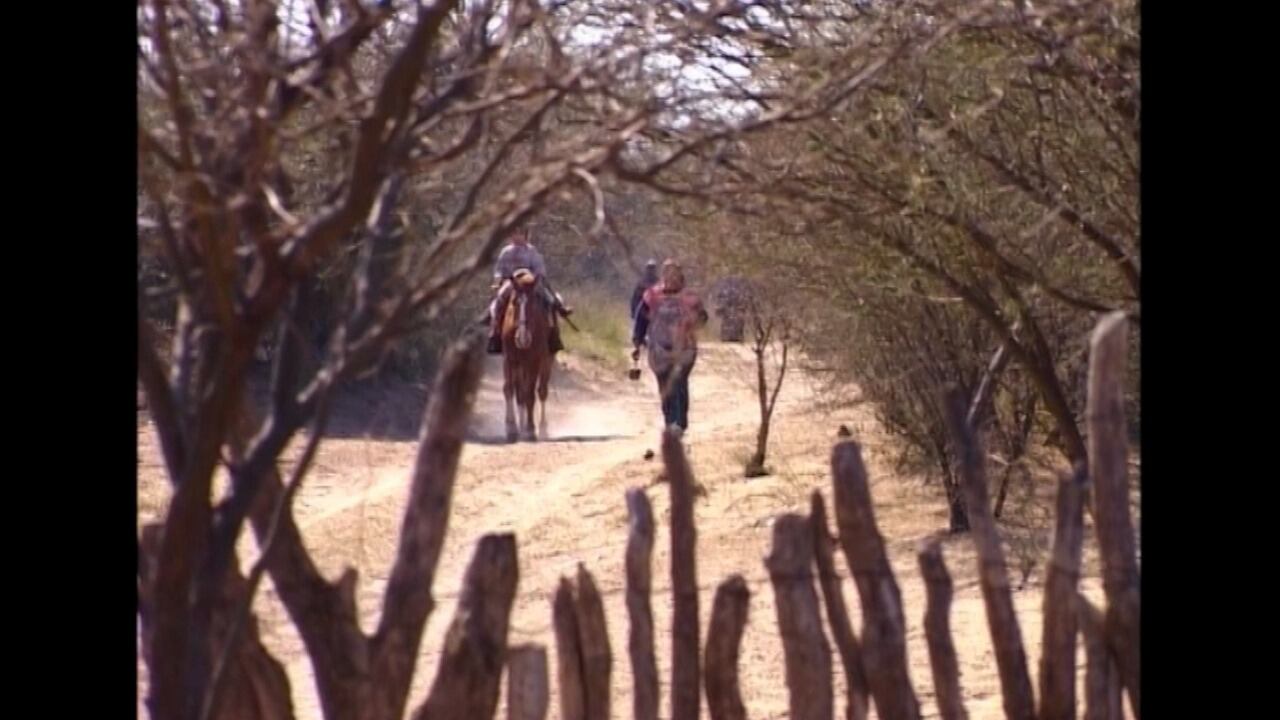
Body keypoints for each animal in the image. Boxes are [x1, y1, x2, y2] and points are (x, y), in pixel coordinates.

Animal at [496, 266, 552, 440]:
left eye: (533, 303)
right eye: (514, 302)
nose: (522, 338)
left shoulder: (533, 362)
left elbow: (529, 394)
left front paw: (530, 429)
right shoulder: (509, 359)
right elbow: (509, 389)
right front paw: (511, 427)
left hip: (545, 361)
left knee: (541, 391)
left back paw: (542, 428)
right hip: (519, 365)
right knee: (519, 391)